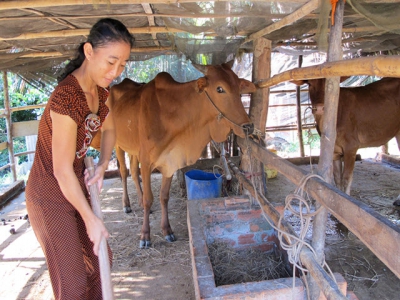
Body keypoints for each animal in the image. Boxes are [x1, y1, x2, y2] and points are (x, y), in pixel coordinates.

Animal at [101, 61, 255, 248]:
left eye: (239, 86)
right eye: (220, 89)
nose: (248, 127)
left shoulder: (169, 161)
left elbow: (164, 197)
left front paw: (167, 230)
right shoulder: (147, 162)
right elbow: (149, 199)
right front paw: (145, 236)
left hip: (133, 150)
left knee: (134, 171)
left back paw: (138, 199)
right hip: (117, 145)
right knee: (124, 172)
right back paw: (127, 204)